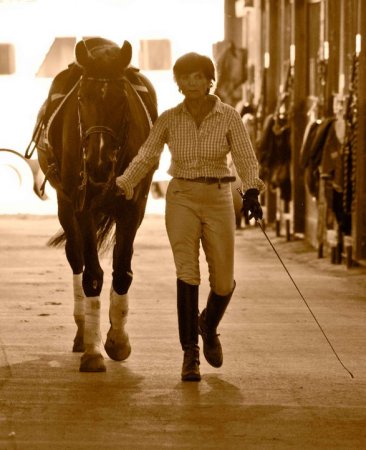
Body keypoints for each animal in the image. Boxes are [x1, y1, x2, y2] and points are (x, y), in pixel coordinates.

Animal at [25, 37, 157, 370]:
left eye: (121, 99)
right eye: (82, 99)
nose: (97, 163)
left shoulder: (134, 207)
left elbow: (122, 270)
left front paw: (118, 341)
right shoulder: (81, 205)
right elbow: (92, 274)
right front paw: (94, 350)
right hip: (65, 205)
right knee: (77, 258)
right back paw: (82, 331)